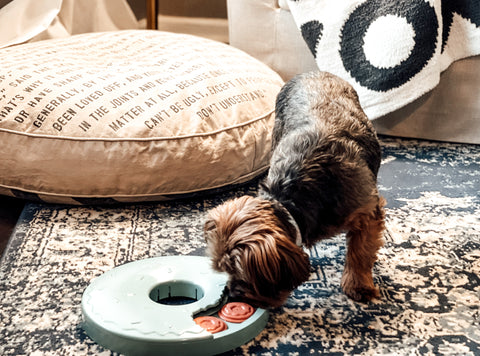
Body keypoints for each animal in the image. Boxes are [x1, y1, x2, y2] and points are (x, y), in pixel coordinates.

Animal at [203, 71, 386, 308]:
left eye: (243, 275)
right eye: (223, 270)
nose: (231, 295)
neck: (293, 196)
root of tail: (314, 72)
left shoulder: (367, 212)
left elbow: (361, 251)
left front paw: (359, 285)